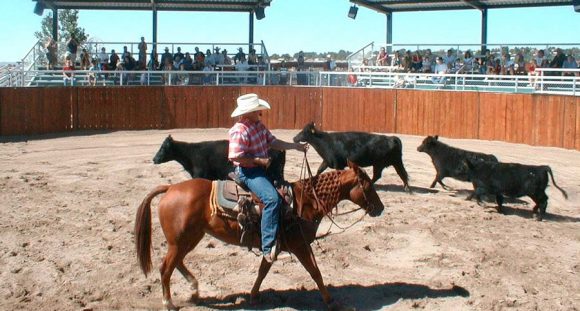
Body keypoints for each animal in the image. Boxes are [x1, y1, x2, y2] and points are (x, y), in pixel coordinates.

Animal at [134, 162, 382, 310]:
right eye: (368, 185)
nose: (380, 208)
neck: (304, 202)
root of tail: (170, 188)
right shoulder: (300, 245)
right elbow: (315, 272)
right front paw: (330, 301)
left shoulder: (273, 245)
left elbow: (263, 271)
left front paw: (254, 296)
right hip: (179, 241)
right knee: (166, 268)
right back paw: (169, 302)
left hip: (190, 238)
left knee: (177, 263)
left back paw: (194, 290)